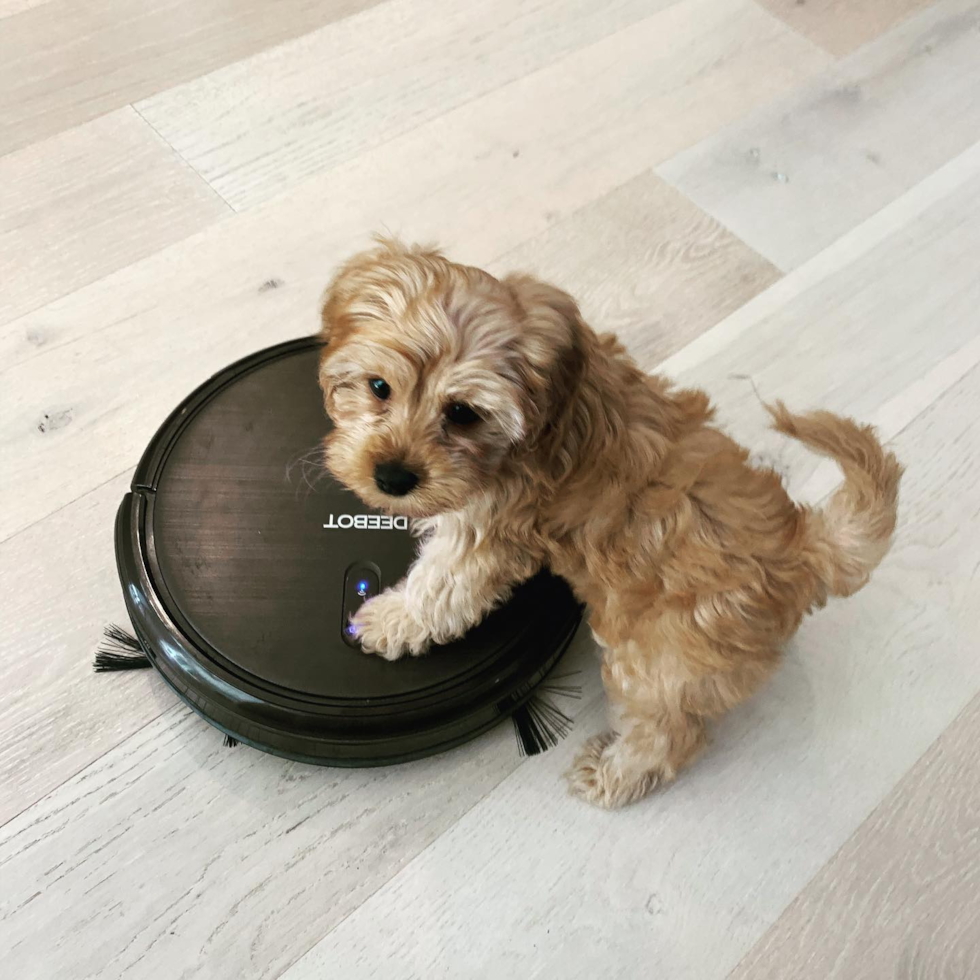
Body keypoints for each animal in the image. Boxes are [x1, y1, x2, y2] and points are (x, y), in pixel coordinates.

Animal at [318, 239, 900, 812]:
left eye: (462, 413)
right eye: (378, 387)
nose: (392, 477)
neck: (547, 413)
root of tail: (802, 548)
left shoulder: (490, 529)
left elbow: (439, 588)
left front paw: (388, 620)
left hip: (656, 657)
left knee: (668, 730)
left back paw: (614, 774)